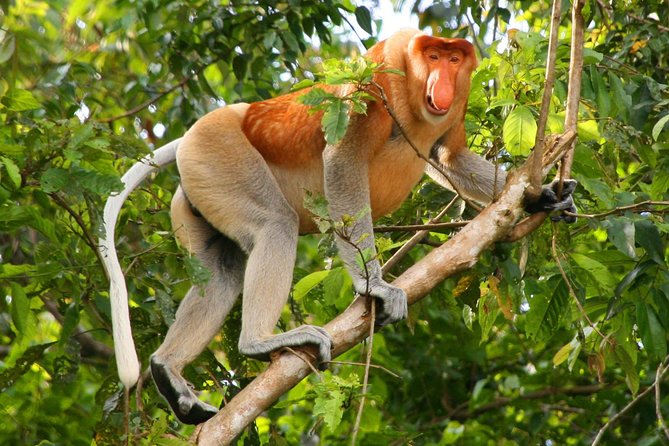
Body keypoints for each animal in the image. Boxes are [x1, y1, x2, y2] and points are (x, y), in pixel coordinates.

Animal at [98, 27, 576, 426]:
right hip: (219, 152)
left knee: (221, 270)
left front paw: (543, 196)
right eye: (434, 55)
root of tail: (194, 135)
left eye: (455, 59)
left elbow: (449, 156)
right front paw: (375, 286)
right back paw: (259, 341)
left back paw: (168, 372)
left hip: (199, 189)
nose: (442, 77)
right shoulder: (376, 81)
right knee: (275, 225)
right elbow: (343, 163)